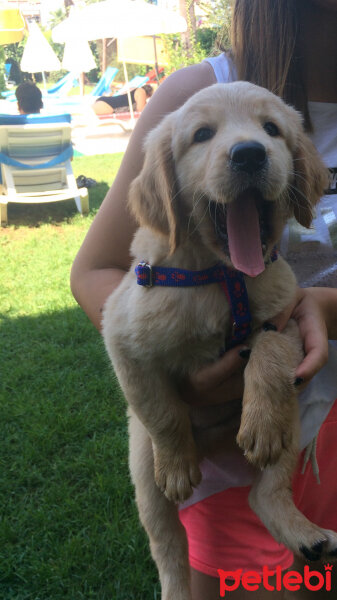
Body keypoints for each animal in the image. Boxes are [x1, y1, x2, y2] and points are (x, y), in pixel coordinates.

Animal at [103, 81, 336, 600]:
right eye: (202, 135)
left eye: (271, 129)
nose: (249, 153)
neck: (220, 276)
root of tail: (214, 447)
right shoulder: (121, 335)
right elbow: (162, 411)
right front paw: (175, 462)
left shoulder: (288, 315)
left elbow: (269, 349)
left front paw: (260, 409)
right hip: (140, 466)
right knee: (168, 544)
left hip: (294, 414)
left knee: (263, 491)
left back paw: (304, 534)